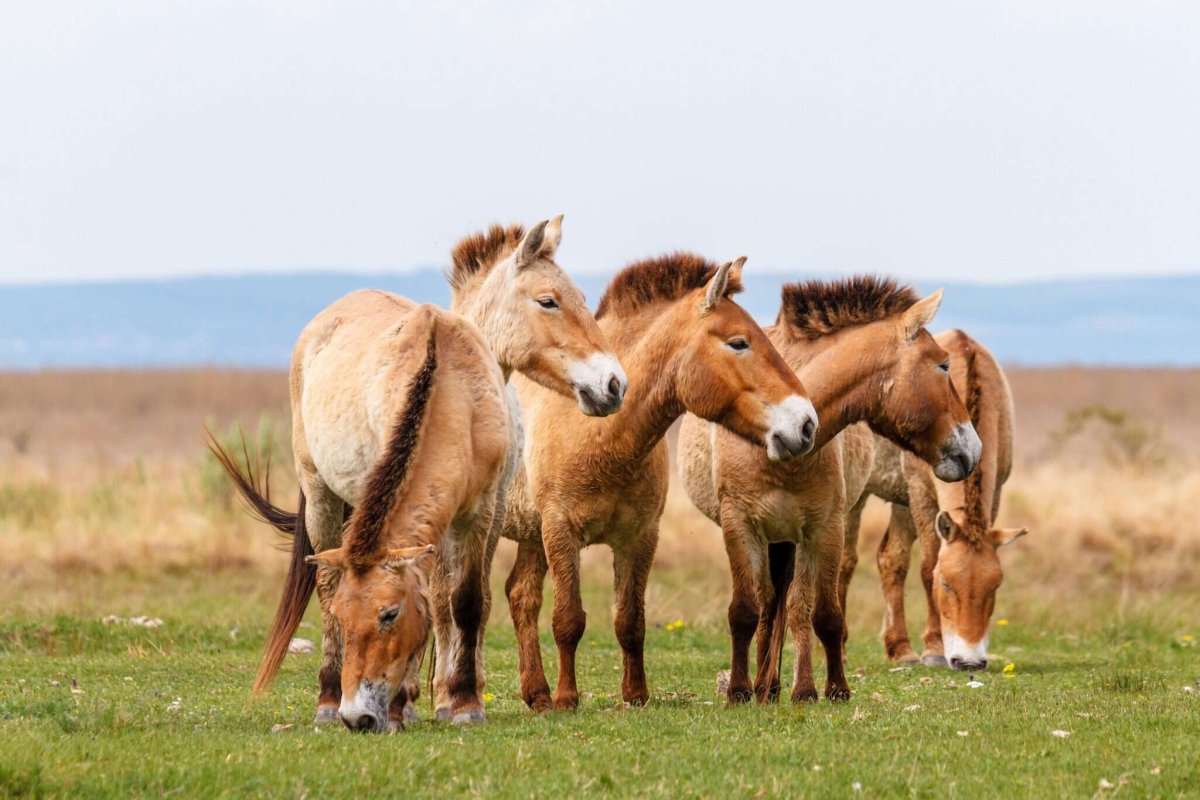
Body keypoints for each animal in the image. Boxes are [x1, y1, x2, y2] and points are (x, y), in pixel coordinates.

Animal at [213, 218, 626, 730]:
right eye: (548, 300)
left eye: (580, 299)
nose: (613, 384)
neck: (452, 391)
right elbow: (430, 595)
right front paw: (411, 700)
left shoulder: (481, 511)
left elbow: (464, 600)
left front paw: (459, 700)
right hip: (322, 495)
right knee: (326, 589)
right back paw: (328, 699)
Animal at [502, 254, 819, 712]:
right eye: (739, 342)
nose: (806, 424)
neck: (601, 437)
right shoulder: (561, 531)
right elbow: (568, 619)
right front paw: (567, 698)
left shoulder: (640, 536)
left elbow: (630, 620)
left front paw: (635, 694)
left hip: (530, 536)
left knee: (521, 596)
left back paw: (536, 693)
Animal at [678, 276, 982, 704]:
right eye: (943, 364)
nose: (973, 448)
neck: (778, 446)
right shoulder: (740, 526)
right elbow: (745, 610)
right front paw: (739, 690)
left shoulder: (824, 528)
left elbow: (816, 612)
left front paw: (821, 688)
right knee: (768, 603)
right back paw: (763, 685)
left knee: (783, 605)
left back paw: (772, 685)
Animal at [840, 329, 1027, 671]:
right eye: (946, 584)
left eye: (995, 585)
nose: (969, 661)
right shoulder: (921, 493)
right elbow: (927, 564)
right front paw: (934, 649)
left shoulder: (995, 492)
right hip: (858, 498)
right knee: (845, 562)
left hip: (901, 505)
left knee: (892, 560)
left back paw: (900, 648)